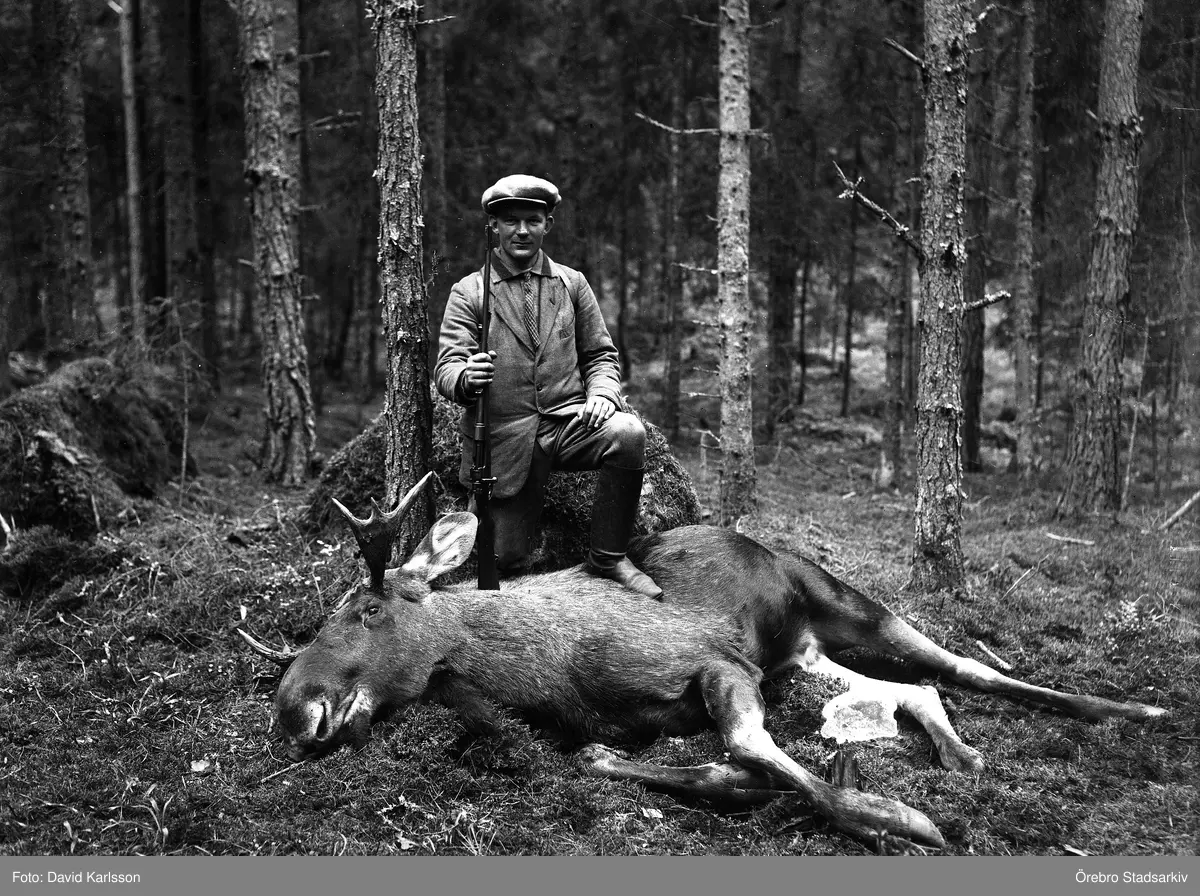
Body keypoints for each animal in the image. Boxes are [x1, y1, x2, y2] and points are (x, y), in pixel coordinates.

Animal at [241, 473, 1167, 851]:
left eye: (364, 609)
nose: (292, 708)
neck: (526, 675)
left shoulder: (720, 667)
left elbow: (756, 750)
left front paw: (896, 818)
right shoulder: (618, 718)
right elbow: (627, 759)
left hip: (845, 603)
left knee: (967, 666)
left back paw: (1137, 711)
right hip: (804, 656)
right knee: (915, 690)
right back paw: (959, 751)